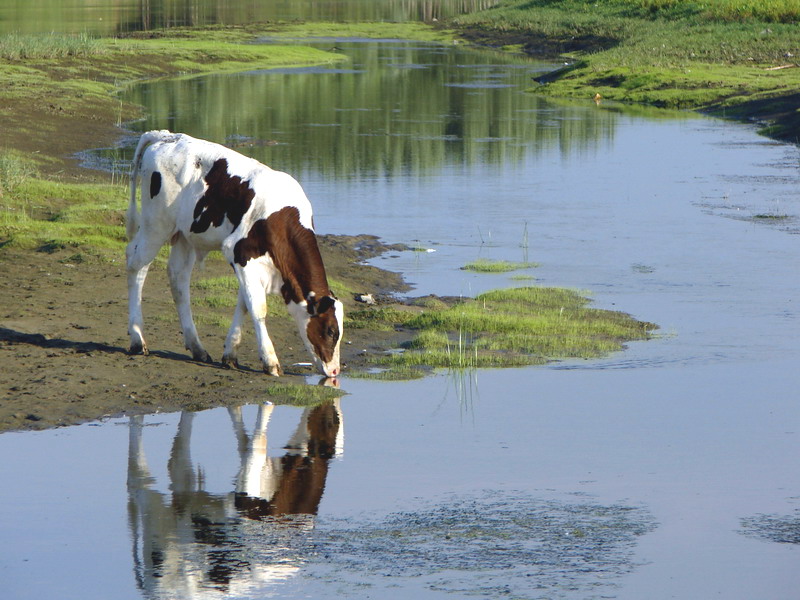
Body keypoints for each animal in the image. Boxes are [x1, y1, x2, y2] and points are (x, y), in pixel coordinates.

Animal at [124, 131, 340, 378]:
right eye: (331, 331)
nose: (335, 371)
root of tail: (166, 136)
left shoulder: (254, 265)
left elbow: (245, 304)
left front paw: (230, 353)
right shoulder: (239, 252)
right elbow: (258, 308)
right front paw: (270, 361)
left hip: (184, 235)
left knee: (178, 280)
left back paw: (197, 348)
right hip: (156, 225)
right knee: (136, 263)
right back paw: (137, 339)